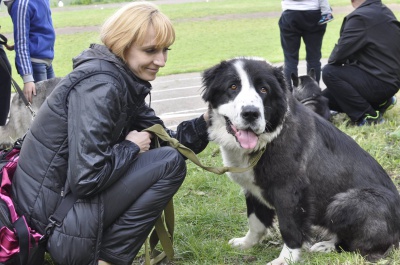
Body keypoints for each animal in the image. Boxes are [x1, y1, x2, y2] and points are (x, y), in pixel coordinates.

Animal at [202, 57, 400, 264]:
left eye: (264, 90)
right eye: (233, 87)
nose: (250, 113)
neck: (269, 139)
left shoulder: (289, 191)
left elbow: (289, 227)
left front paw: (286, 258)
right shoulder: (252, 189)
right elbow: (255, 222)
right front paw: (246, 243)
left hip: (348, 201)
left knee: (359, 246)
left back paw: (329, 246)